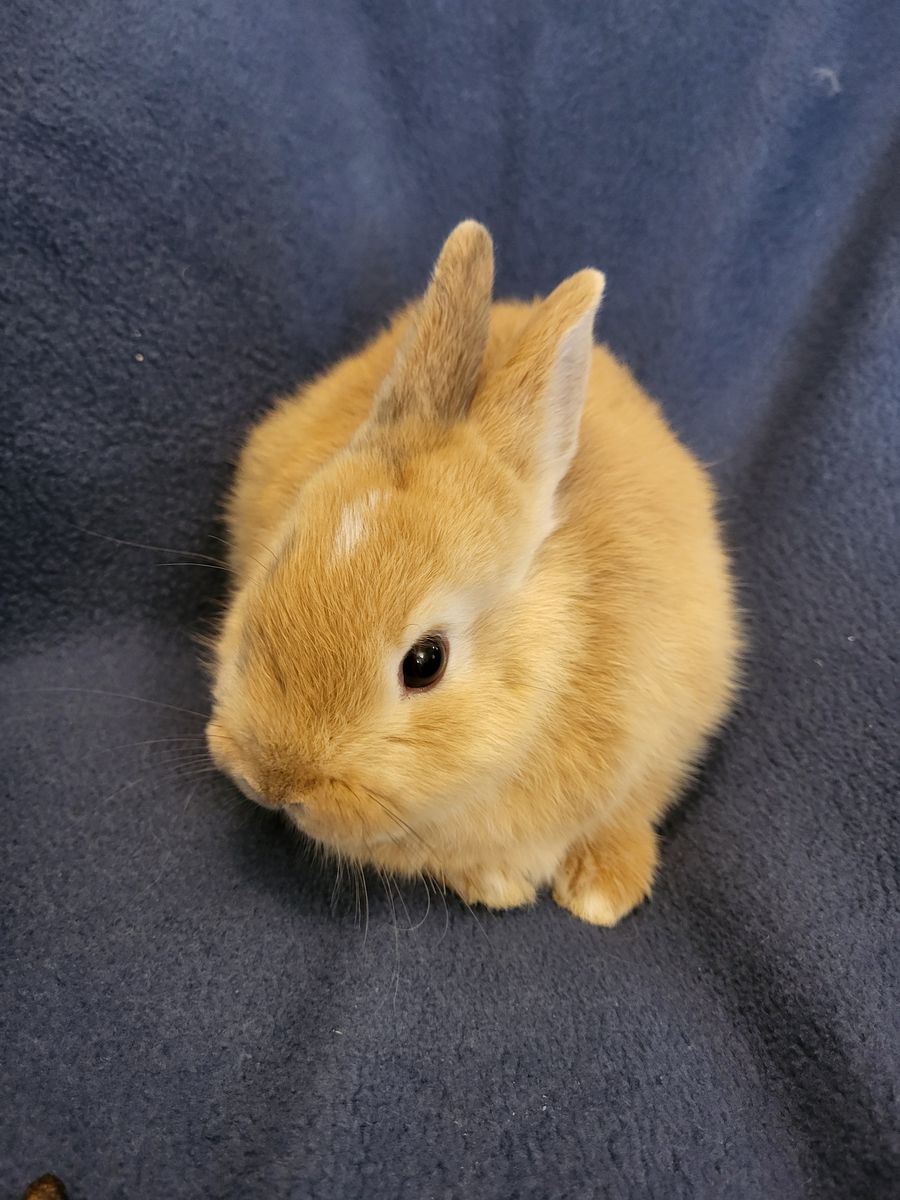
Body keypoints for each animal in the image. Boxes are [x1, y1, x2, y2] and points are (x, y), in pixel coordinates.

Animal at [206, 220, 740, 926]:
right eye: (272, 568)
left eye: (425, 662)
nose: (274, 780)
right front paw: (496, 882)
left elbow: (630, 812)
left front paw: (600, 894)